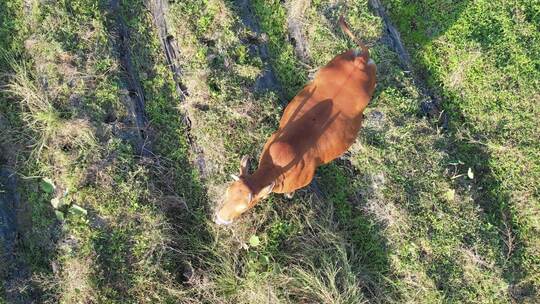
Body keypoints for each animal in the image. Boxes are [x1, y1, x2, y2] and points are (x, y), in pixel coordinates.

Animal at [214, 17, 376, 226]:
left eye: (244, 208)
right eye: (227, 192)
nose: (219, 219)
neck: (275, 168)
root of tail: (362, 59)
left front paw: (289, 195)